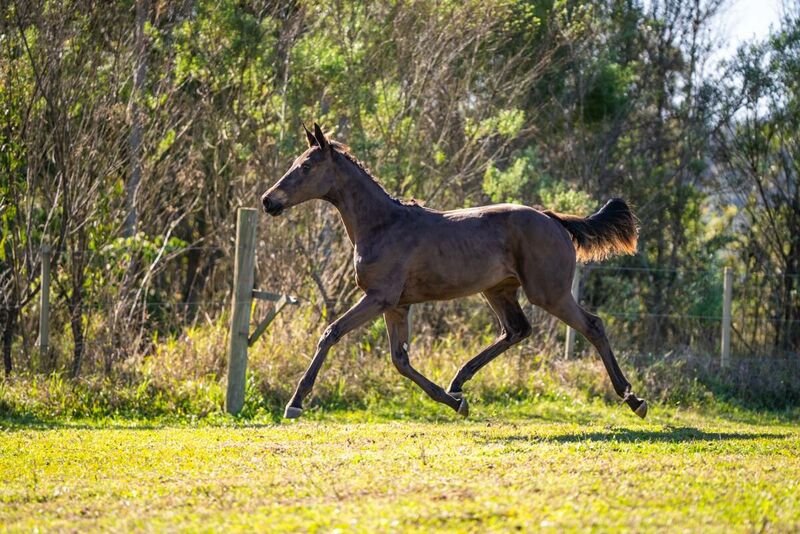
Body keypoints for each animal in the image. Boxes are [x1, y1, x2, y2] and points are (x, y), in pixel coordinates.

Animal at [260, 123, 648, 420]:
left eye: (306, 167)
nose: (268, 201)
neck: (382, 225)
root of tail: (553, 218)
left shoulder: (379, 297)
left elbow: (332, 333)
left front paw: (295, 402)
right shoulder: (396, 305)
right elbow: (400, 360)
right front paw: (455, 404)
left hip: (548, 292)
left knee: (592, 325)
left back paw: (634, 399)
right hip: (499, 290)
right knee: (517, 330)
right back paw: (459, 382)